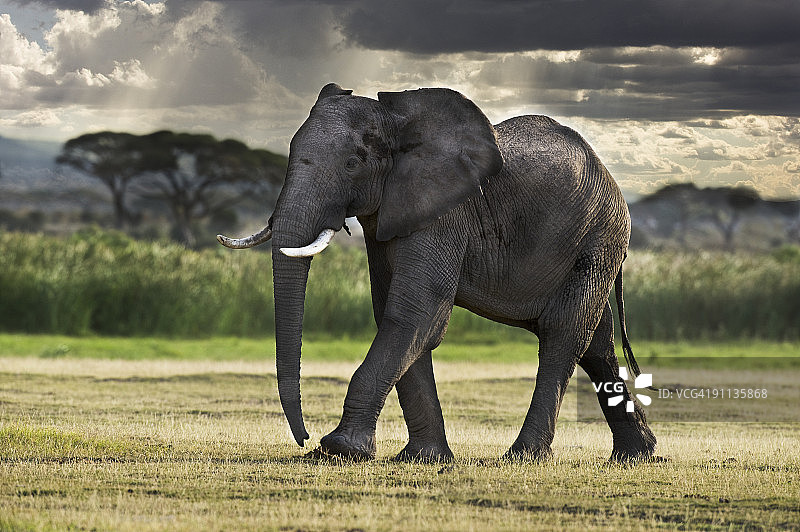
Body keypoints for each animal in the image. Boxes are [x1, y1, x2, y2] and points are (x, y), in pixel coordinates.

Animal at [217, 83, 656, 462]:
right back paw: (637, 456)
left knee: (563, 334)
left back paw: (524, 456)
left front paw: (340, 450)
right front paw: (422, 458)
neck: (398, 120)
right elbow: (398, 315)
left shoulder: (446, 214)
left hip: (599, 239)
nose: (304, 438)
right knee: (596, 344)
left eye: (352, 163)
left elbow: (416, 312)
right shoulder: (389, 216)